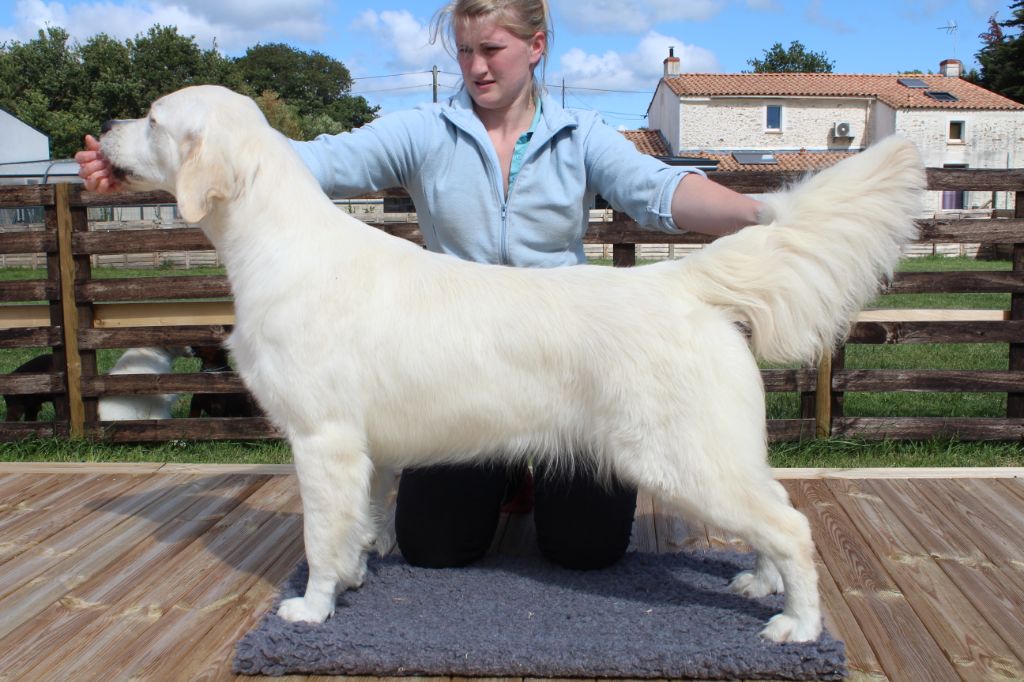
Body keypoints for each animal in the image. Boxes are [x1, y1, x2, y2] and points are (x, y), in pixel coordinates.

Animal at [99, 85, 924, 642]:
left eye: (153, 119)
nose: (99, 131)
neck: (275, 244)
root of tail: (678, 280)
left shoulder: (321, 439)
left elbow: (319, 537)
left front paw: (312, 606)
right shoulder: (363, 450)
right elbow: (359, 525)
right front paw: (358, 575)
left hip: (682, 458)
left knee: (793, 525)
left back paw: (799, 624)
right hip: (713, 454)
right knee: (773, 515)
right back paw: (759, 583)